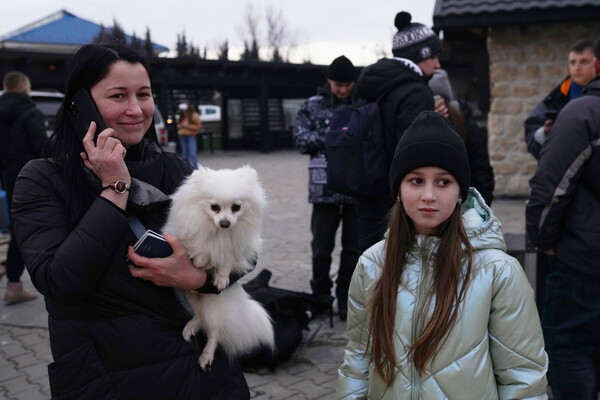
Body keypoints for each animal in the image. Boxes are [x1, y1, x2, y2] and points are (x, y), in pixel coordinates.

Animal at [164, 164, 276, 370]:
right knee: (199, 316)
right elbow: (200, 247)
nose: (225, 223)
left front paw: (221, 279)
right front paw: (201, 260)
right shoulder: (189, 236)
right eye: (214, 207)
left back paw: (206, 355)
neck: (219, 233)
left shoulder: (237, 250)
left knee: (214, 332)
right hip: (189, 294)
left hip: (214, 307)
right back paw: (192, 326)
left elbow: (225, 261)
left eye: (236, 207)